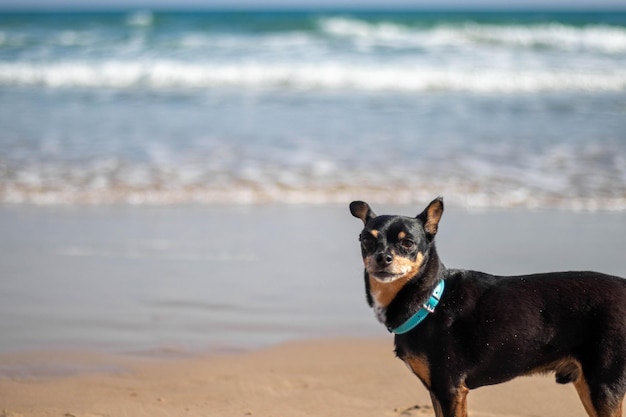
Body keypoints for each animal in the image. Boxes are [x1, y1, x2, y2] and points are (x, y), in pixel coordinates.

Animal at [348, 197, 620, 416]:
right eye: (366, 240)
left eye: (407, 244)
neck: (428, 298)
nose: (383, 258)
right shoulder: (437, 391)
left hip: (603, 386)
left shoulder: (450, 390)